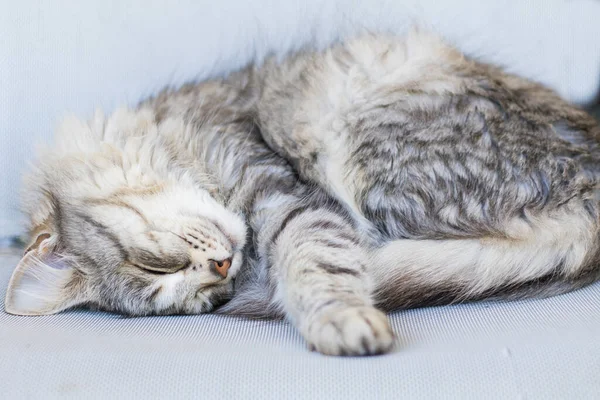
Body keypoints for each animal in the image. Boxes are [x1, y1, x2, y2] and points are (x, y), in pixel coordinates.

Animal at [4, 31, 600, 356]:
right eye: (198, 302)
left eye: (155, 265)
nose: (222, 270)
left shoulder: (279, 189)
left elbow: (315, 264)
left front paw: (340, 321)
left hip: (356, 138)